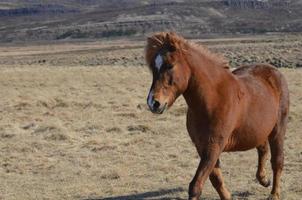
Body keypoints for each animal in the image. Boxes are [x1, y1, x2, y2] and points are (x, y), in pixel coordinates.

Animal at [145, 32, 290, 199]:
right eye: (153, 68)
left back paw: (274, 194)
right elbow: (215, 178)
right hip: (259, 129)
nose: (153, 103)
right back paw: (263, 179)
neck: (213, 100)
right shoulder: (202, 146)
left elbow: (196, 185)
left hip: (278, 130)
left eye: (170, 65)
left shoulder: (214, 146)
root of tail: (274, 71)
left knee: (277, 161)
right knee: (263, 149)